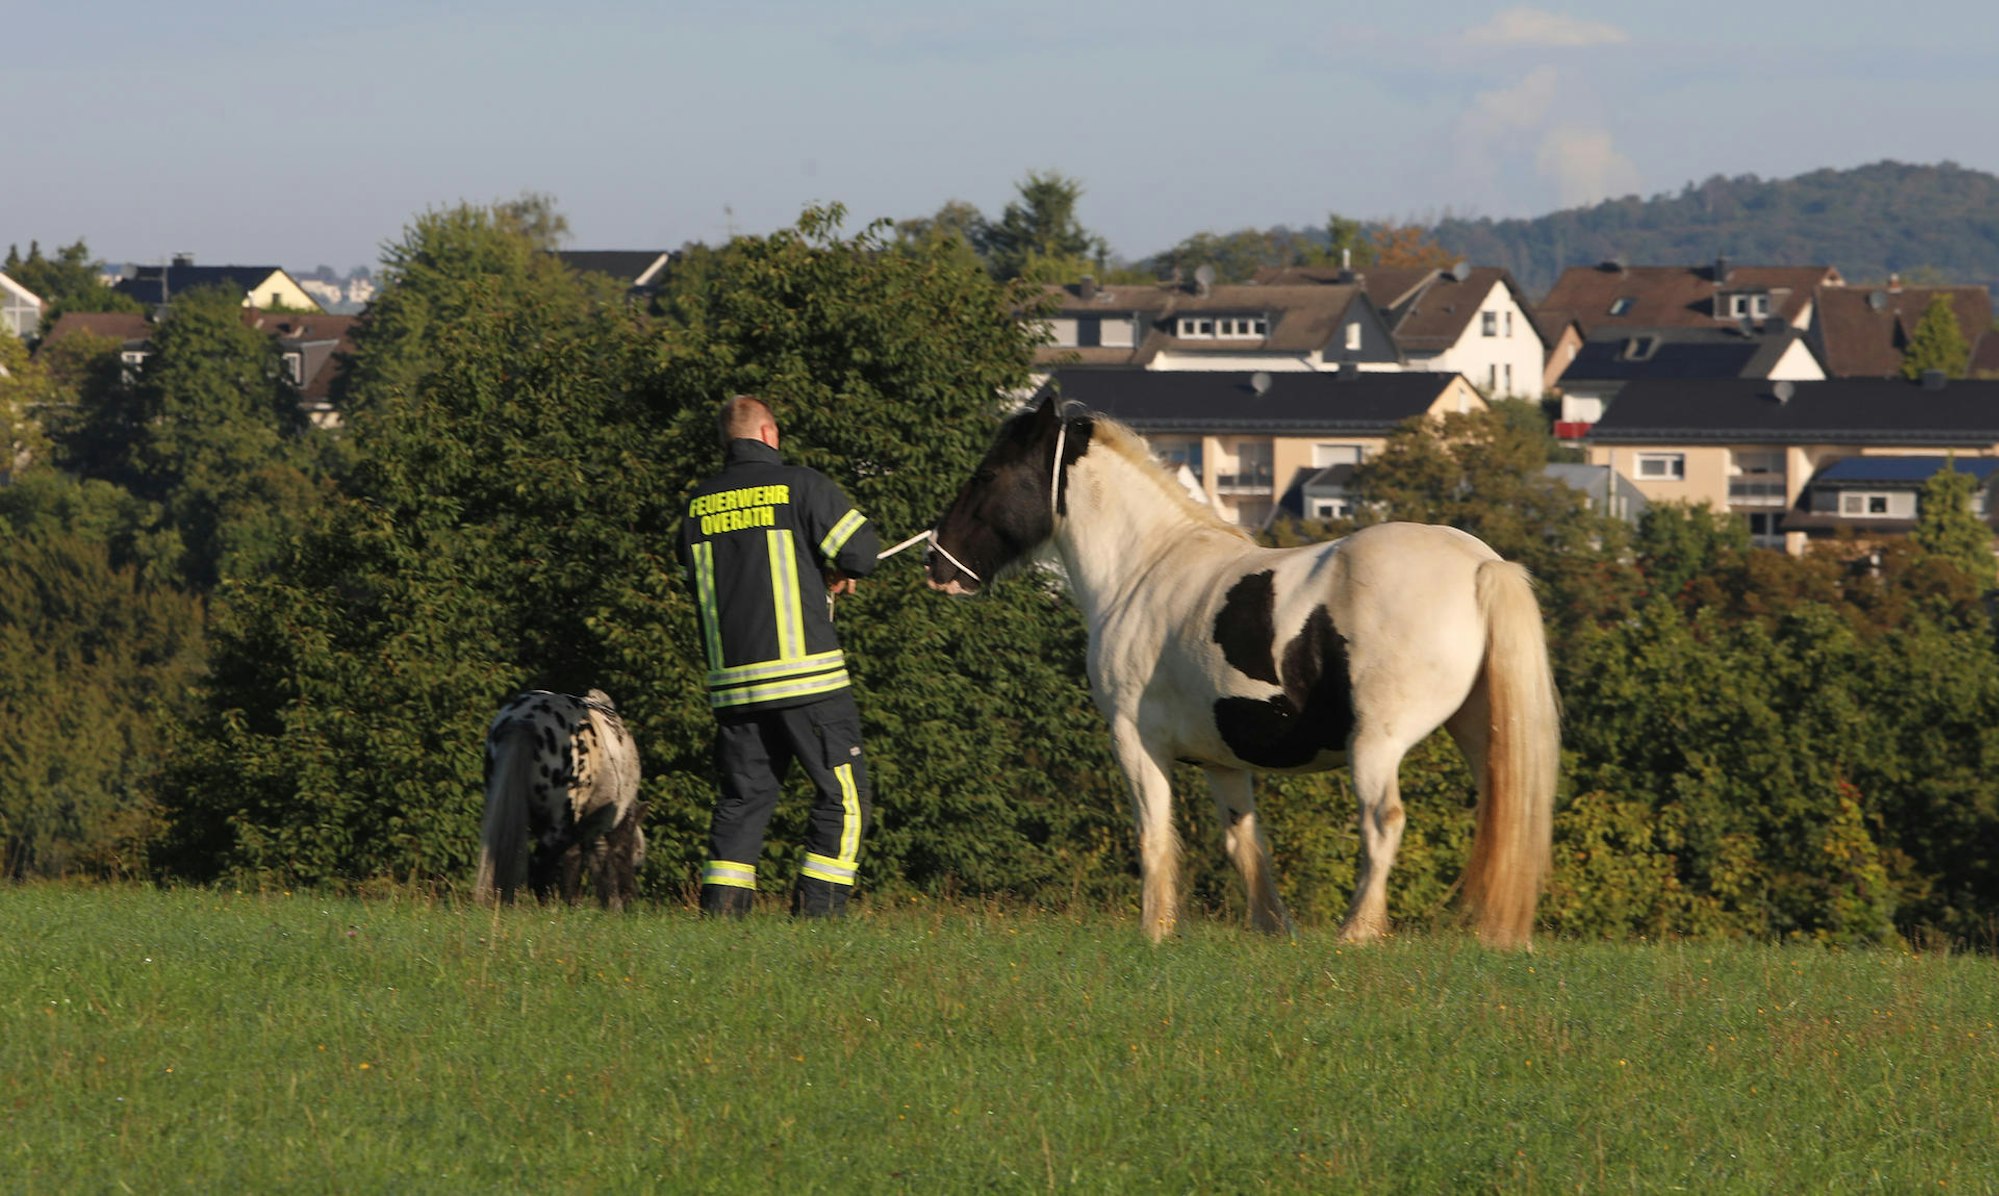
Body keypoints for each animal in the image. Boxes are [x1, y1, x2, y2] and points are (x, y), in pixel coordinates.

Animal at [924, 395, 1559, 947]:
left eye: (987, 475)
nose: (937, 565)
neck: (1144, 568)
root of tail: (1481, 565)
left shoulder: (1135, 741)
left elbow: (1154, 834)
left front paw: (1155, 932)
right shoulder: (1221, 762)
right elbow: (1245, 844)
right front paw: (1272, 930)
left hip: (1376, 746)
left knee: (1384, 822)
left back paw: (1356, 933)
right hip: (1478, 732)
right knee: (1503, 817)